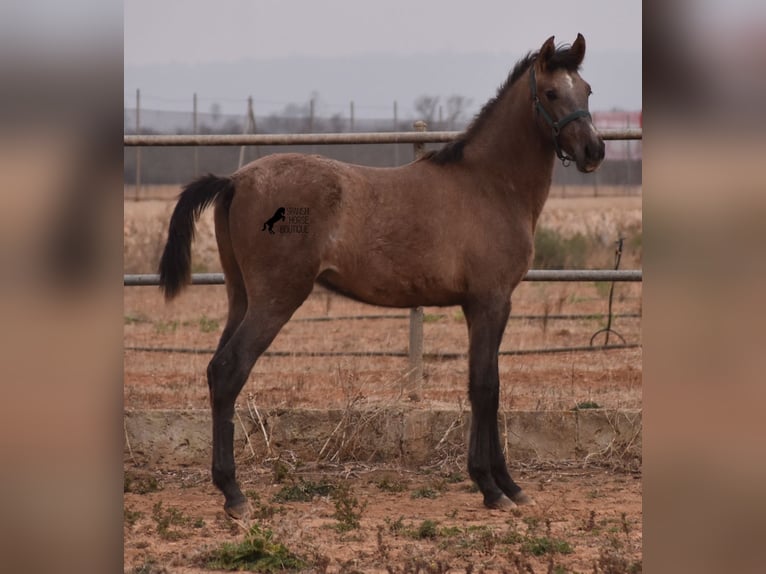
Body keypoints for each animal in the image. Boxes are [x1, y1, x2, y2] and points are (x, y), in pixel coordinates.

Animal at [159, 33, 608, 520]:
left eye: (587, 90)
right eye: (551, 92)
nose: (595, 151)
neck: (489, 184)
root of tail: (235, 180)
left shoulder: (481, 306)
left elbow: (485, 385)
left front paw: (501, 484)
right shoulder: (491, 302)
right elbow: (486, 386)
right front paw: (495, 487)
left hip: (240, 296)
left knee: (214, 371)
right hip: (275, 299)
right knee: (229, 371)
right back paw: (235, 494)